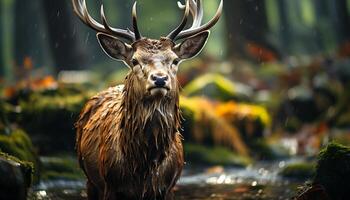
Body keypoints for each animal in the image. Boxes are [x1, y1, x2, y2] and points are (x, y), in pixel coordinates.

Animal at [72, 0, 223, 199]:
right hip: (89, 179)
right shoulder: (110, 185)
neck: (144, 166)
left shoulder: (168, 188)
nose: (159, 78)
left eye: (175, 60)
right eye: (135, 61)